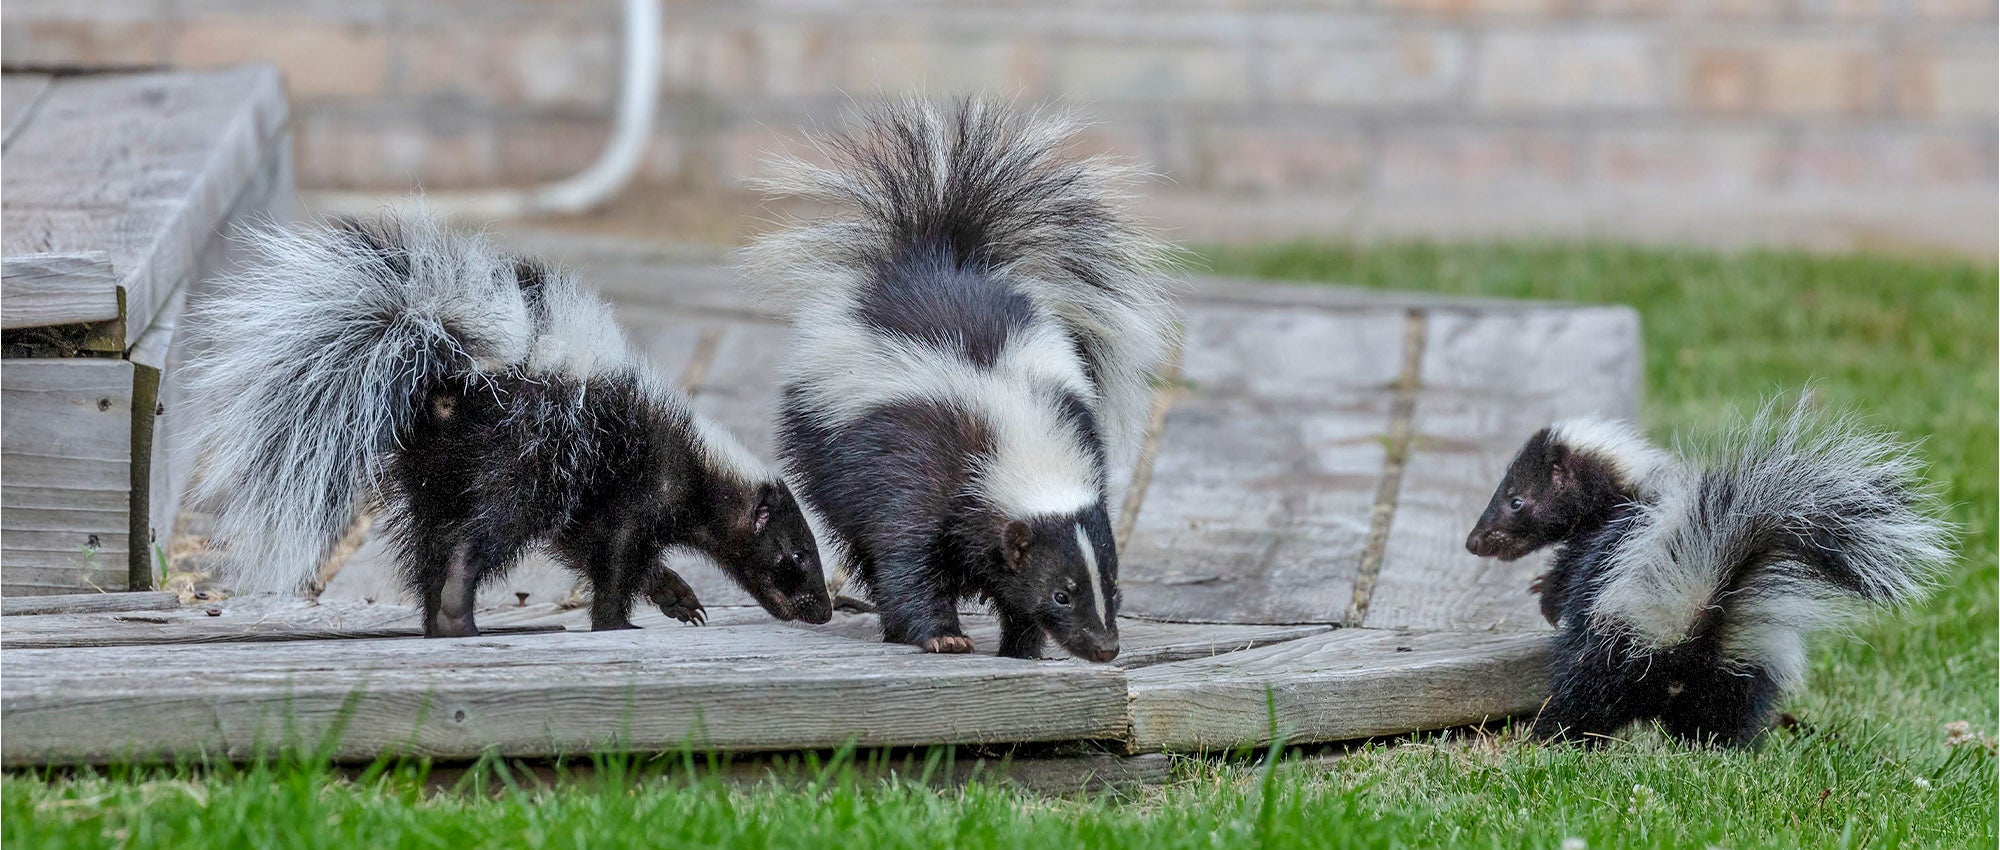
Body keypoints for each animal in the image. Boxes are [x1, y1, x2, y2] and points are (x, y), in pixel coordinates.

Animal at [188, 212, 836, 636]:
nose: (823, 609)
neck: (698, 463)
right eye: (798, 557)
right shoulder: (631, 482)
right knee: (482, 532)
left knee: (431, 540)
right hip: (527, 453)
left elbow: (592, 546)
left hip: (438, 470)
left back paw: (440, 621)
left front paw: (677, 596)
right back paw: (456, 608)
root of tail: (455, 380)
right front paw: (616, 624)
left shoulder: (592, 502)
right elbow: (618, 556)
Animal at [752, 97, 1184, 656]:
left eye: (1112, 585)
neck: (1015, 422)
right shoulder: (917, 470)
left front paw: (1021, 646)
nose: (1104, 647)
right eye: (1061, 593)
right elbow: (907, 557)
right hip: (820, 434)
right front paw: (943, 636)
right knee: (857, 539)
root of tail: (938, 254)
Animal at [1472, 396, 1952, 744]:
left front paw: (1547, 600)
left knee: (1584, 698)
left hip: (1611, 650)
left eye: (1516, 500)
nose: (1474, 541)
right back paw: (1716, 751)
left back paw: (1547, 736)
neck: (1625, 490)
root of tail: (1696, 623)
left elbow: (1570, 579)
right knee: (1720, 720)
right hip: (1741, 669)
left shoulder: (1603, 544)